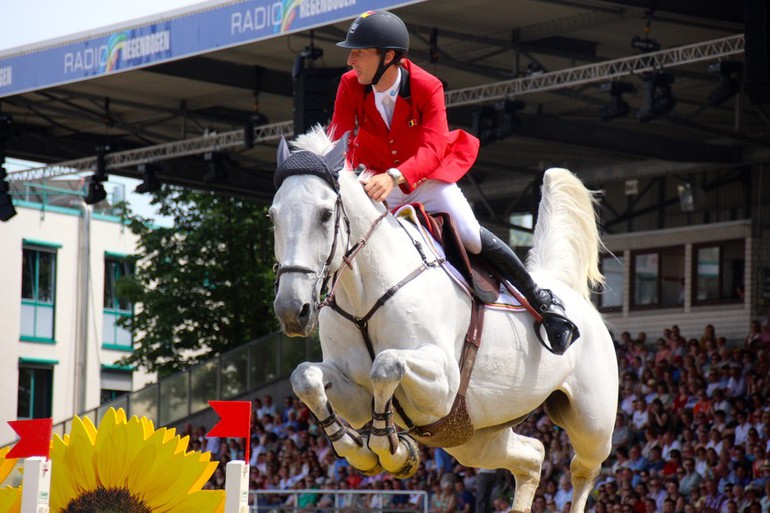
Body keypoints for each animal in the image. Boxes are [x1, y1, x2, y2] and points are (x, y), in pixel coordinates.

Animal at [270, 127, 616, 512]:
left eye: (326, 214)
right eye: (272, 216)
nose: (292, 310)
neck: (363, 294)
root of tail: (565, 289)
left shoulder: (444, 384)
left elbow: (386, 365)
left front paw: (391, 452)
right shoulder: (354, 388)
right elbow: (306, 378)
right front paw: (359, 450)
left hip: (591, 421)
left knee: (583, 469)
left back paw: (553, 315)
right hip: (470, 436)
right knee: (533, 456)